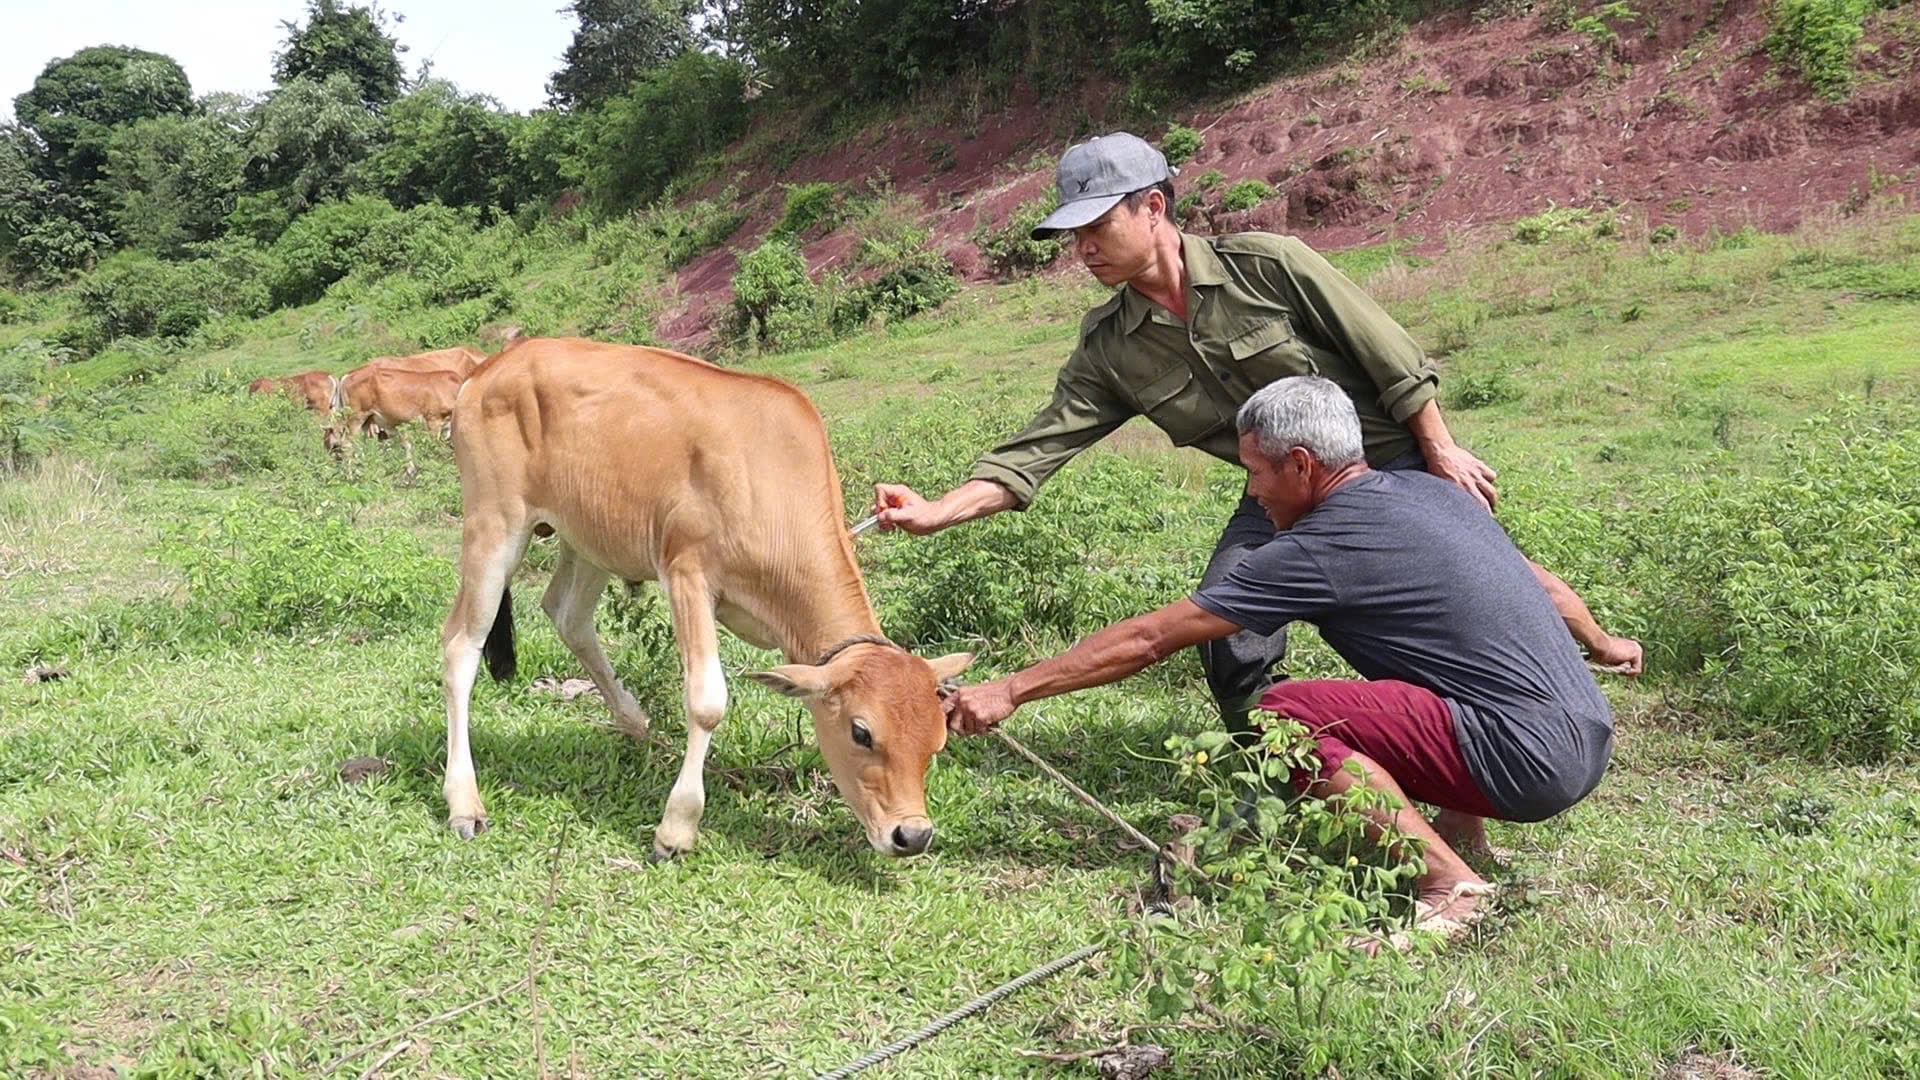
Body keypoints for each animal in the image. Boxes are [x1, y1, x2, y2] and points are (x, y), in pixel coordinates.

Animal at [322, 363, 460, 480]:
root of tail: (348, 375)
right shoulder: (433, 420)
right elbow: (433, 448)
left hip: (367, 419)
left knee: (358, 444)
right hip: (356, 416)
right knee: (347, 444)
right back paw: (351, 476)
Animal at [439, 336, 967, 857]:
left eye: (937, 740)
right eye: (862, 732)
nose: (913, 836)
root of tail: (491, 366)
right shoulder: (687, 573)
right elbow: (707, 700)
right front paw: (677, 827)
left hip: (591, 535)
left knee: (566, 614)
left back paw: (633, 720)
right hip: (494, 523)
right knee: (461, 645)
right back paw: (464, 802)